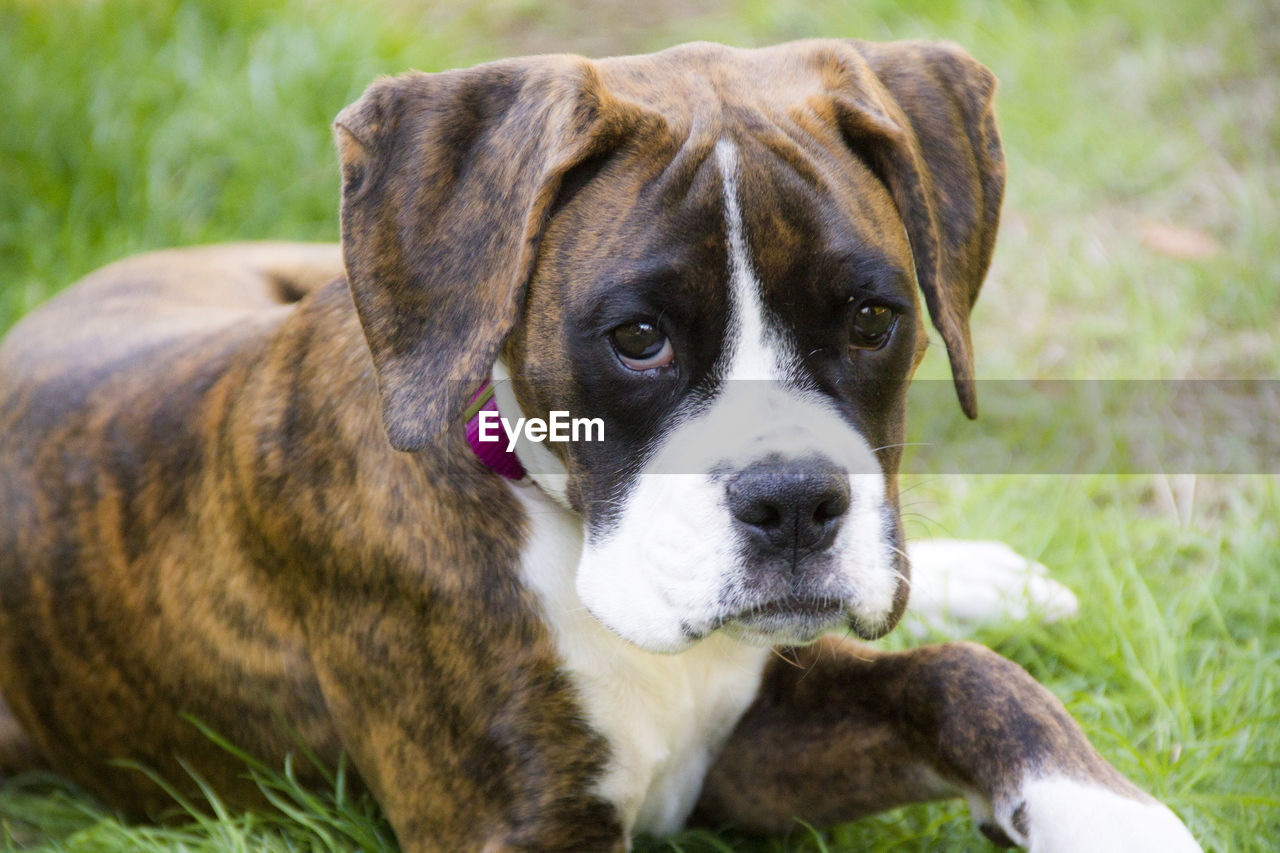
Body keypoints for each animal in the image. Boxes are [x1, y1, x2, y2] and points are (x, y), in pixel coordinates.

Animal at [0, 36, 1198, 845]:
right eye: (637, 339)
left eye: (870, 320)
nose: (795, 502)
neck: (558, 517)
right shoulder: (533, 822)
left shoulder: (749, 742)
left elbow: (960, 677)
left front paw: (1110, 816)